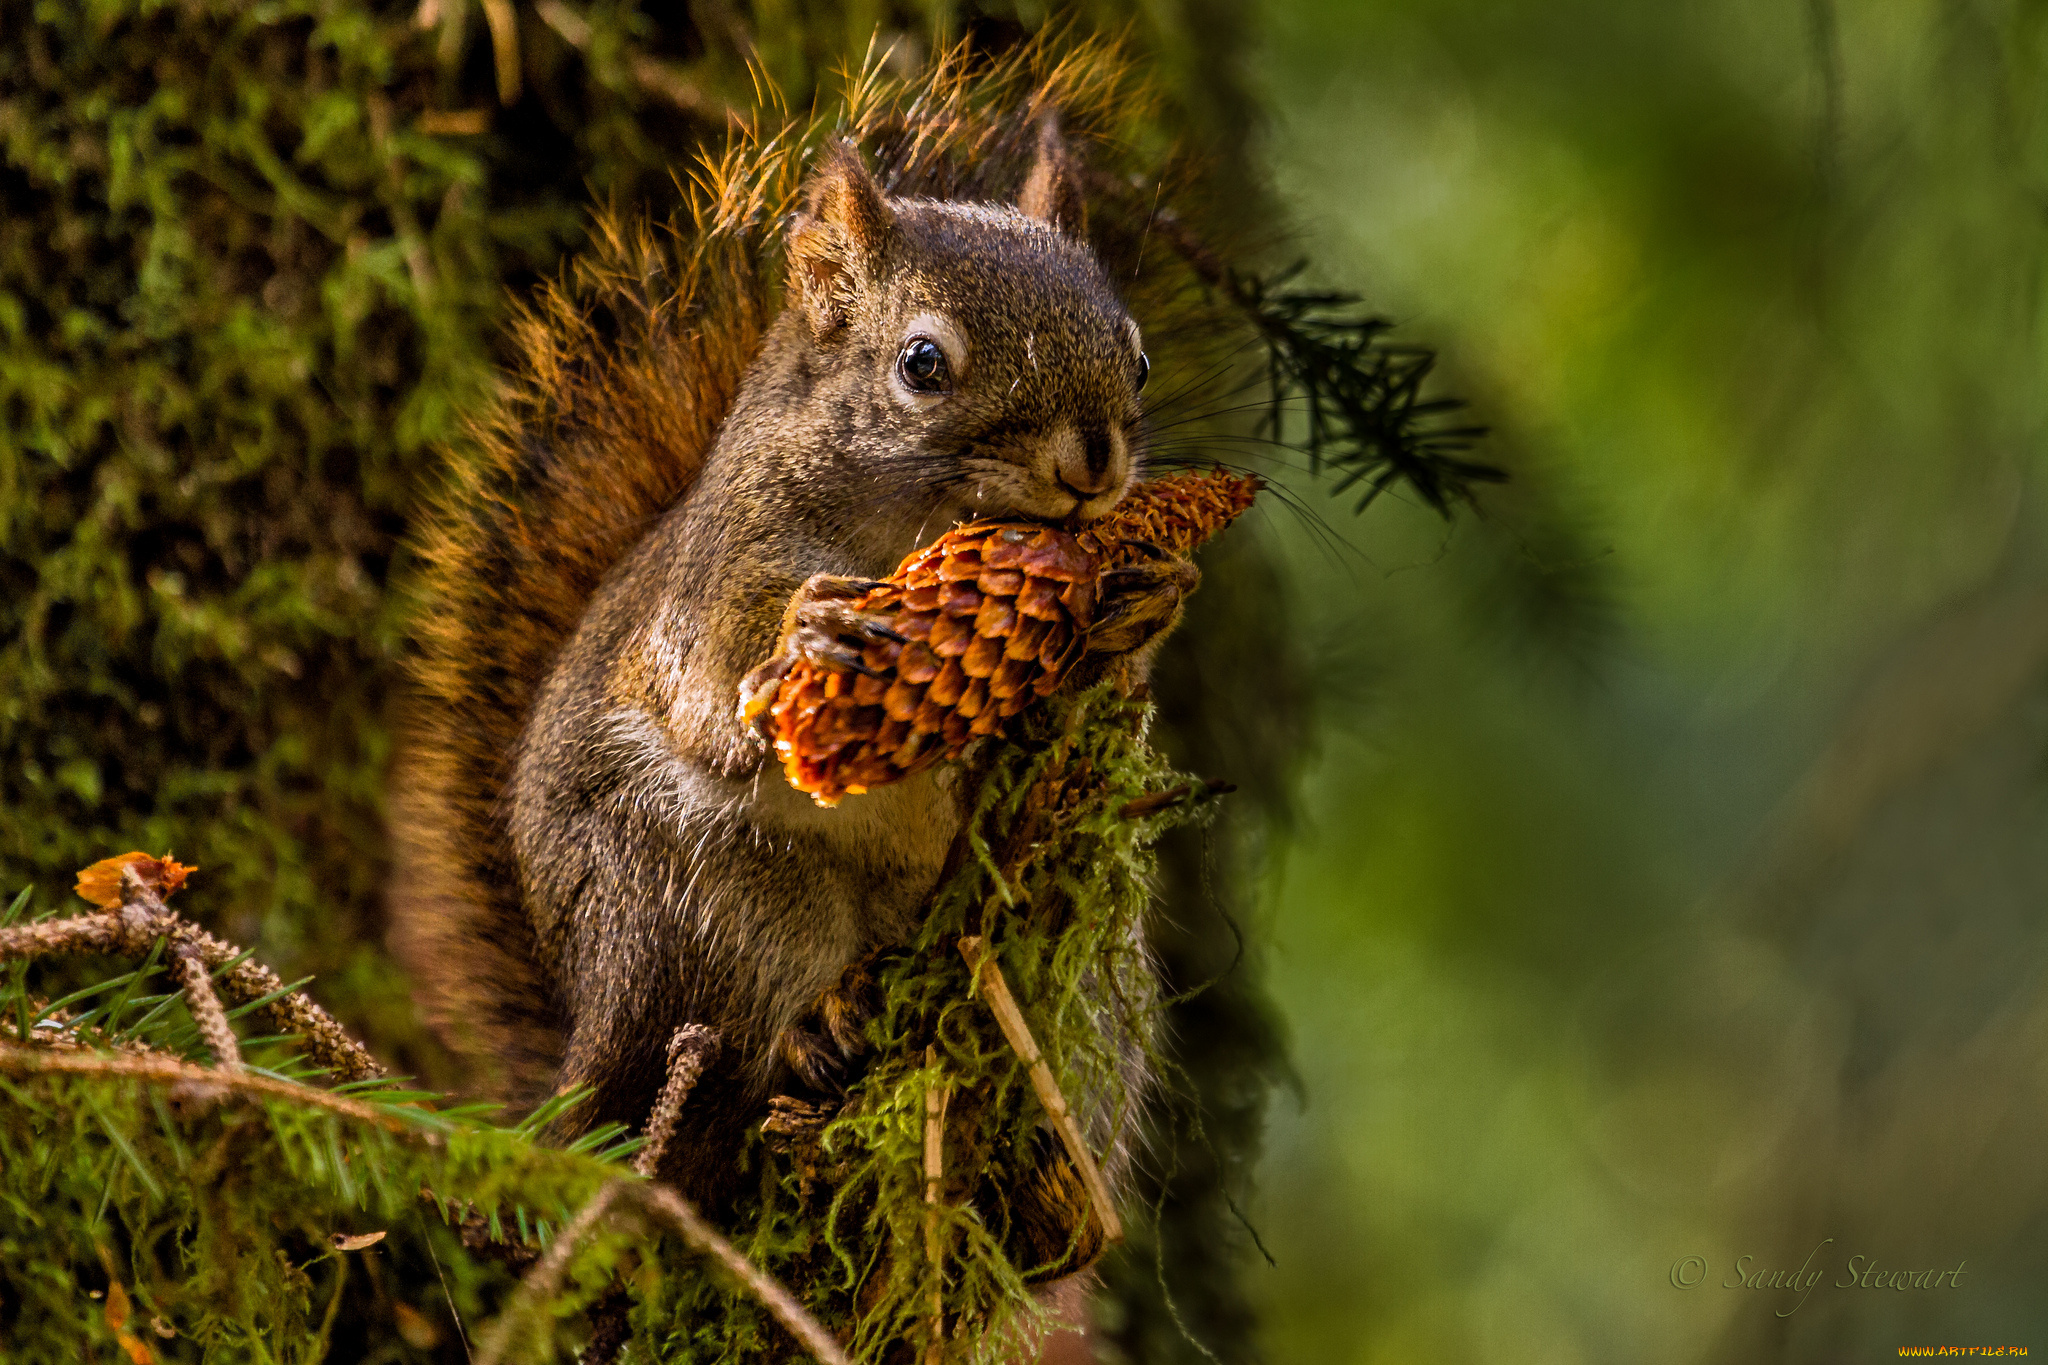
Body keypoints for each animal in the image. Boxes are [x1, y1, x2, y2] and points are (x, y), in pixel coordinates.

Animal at [385, 87, 1196, 1203]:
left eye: (1140, 357)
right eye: (922, 364)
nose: (1093, 461)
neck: (903, 533)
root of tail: (577, 1057)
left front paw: (1140, 604)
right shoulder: (714, 573)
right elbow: (713, 674)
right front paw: (809, 627)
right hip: (698, 897)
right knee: (732, 1038)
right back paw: (811, 1031)